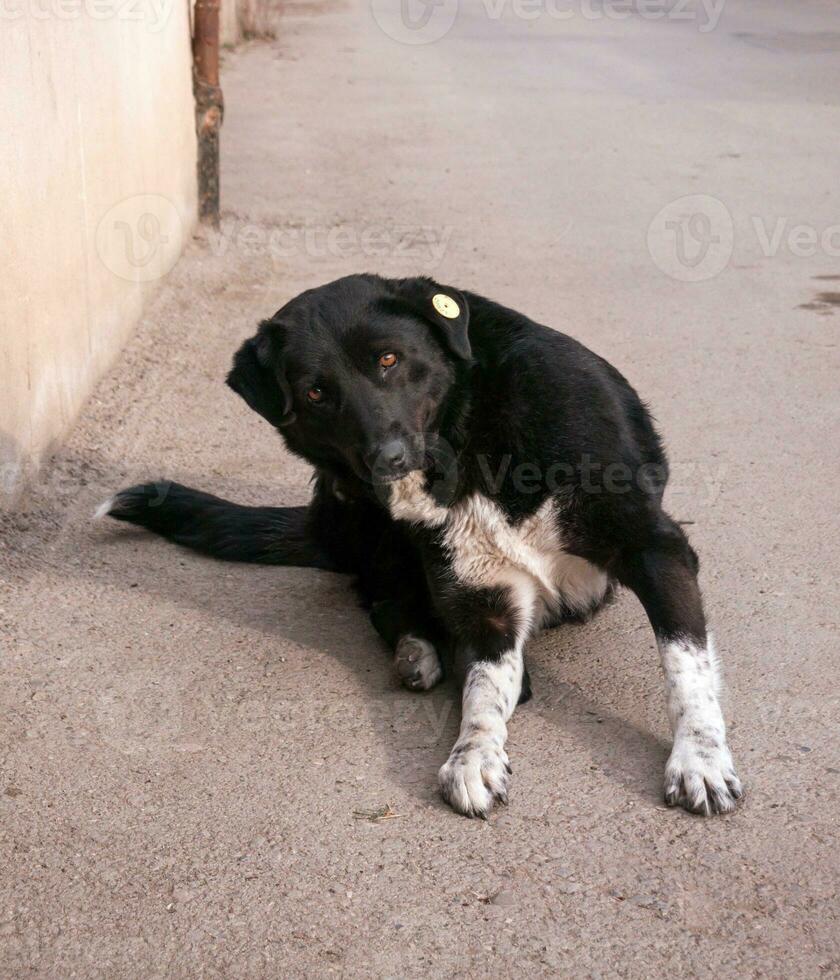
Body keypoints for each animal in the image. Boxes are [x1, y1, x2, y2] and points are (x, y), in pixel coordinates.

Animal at [98, 274, 740, 820]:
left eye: (388, 360)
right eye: (315, 392)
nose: (388, 458)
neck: (465, 442)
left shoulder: (655, 547)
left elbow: (685, 666)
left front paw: (700, 760)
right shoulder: (483, 600)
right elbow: (483, 692)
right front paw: (474, 755)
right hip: (360, 512)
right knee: (383, 599)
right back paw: (420, 649)